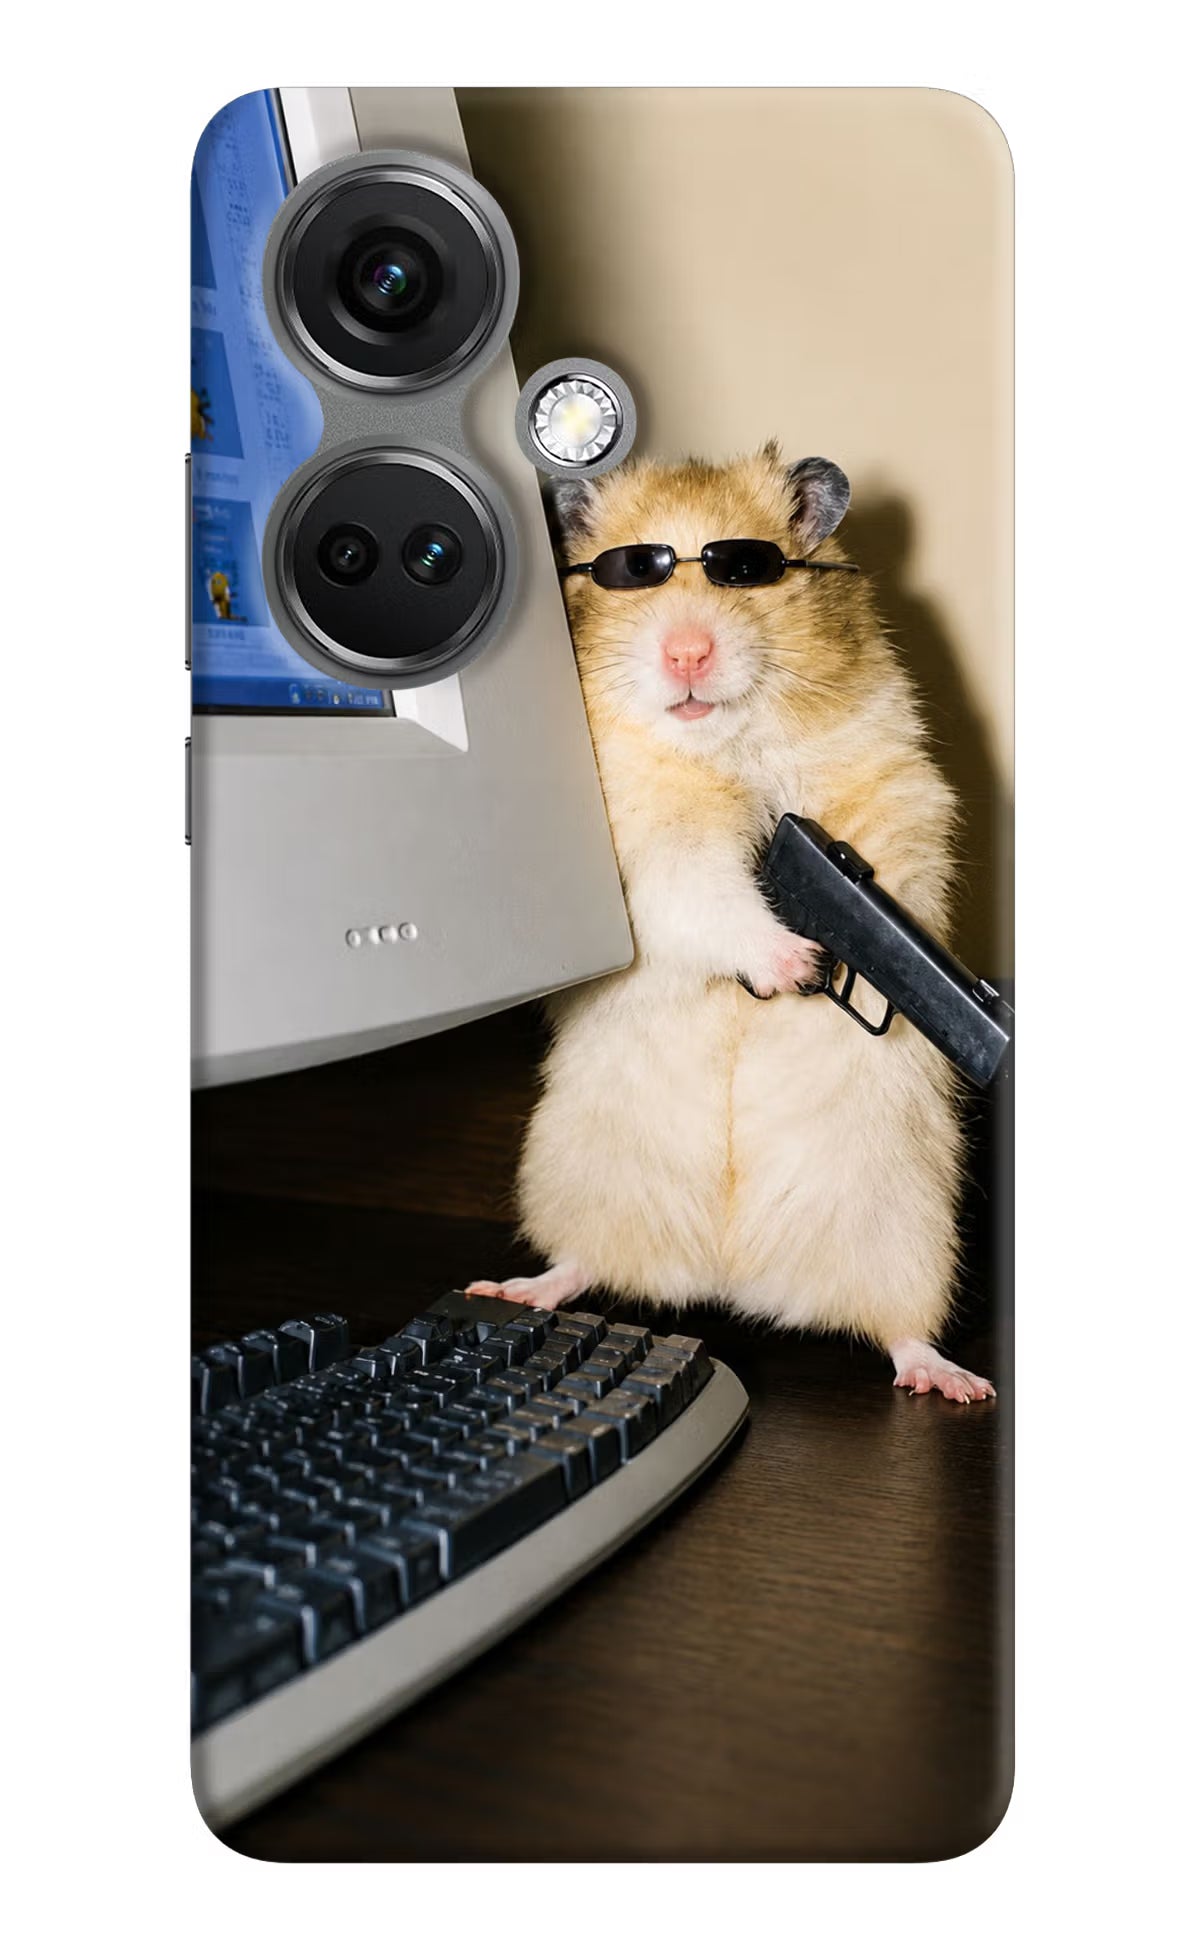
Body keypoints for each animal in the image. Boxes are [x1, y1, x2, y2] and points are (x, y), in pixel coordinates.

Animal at [468, 445, 993, 1402]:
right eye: (633, 573)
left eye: (746, 570)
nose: (686, 652)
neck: (725, 746)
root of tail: (730, 1276)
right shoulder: (649, 851)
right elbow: (707, 895)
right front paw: (797, 963)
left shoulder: (895, 790)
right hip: (579, 1176)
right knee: (582, 1263)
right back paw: (515, 1288)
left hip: (908, 1229)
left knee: (900, 1329)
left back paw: (954, 1381)